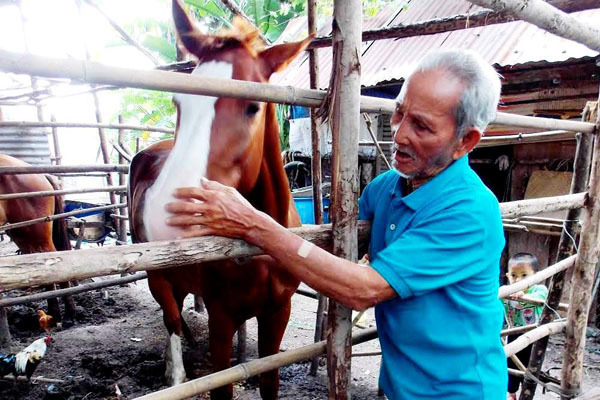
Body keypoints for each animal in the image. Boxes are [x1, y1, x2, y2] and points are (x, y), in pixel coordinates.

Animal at [128, 1, 312, 398]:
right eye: (178, 100)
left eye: (253, 107)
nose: (167, 216)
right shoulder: (221, 316)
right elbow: (220, 385)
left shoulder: (278, 311)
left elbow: (270, 381)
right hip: (157, 275)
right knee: (171, 321)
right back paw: (176, 374)